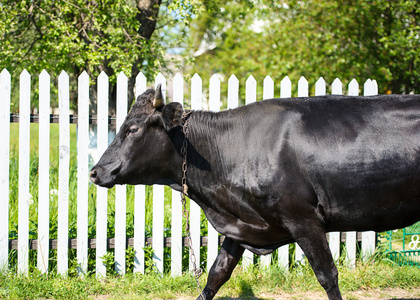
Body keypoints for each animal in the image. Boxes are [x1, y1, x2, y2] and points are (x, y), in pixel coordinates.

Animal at [91, 85, 420, 300]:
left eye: (132, 129)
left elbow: (328, 276)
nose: (95, 171)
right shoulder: (241, 222)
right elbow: (217, 274)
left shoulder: (304, 220)